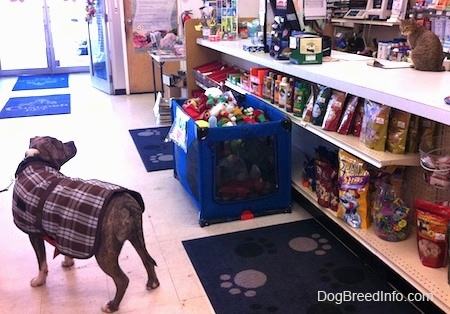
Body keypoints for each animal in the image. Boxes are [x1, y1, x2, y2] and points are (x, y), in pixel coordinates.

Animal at [11, 136, 160, 312]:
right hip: (137, 237)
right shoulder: (61, 228)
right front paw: (68, 262)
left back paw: (112, 306)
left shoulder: (33, 234)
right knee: (147, 260)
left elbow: (42, 263)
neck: (37, 161)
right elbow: (63, 249)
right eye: (60, 143)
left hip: (105, 253)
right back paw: (152, 284)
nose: (72, 142)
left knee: (123, 280)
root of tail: (125, 203)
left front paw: (39, 281)